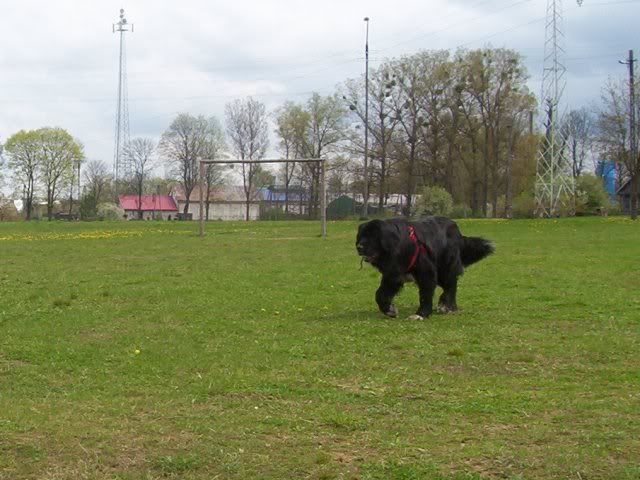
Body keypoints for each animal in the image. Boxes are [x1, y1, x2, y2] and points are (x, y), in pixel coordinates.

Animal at [356, 217, 494, 320]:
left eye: (372, 236)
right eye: (361, 236)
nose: (359, 246)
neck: (399, 246)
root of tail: (456, 229)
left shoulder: (426, 272)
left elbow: (425, 294)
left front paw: (421, 314)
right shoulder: (393, 275)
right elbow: (380, 294)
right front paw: (390, 310)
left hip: (445, 268)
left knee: (451, 285)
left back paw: (447, 306)